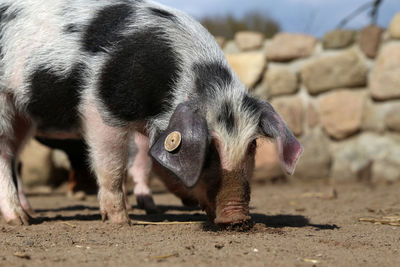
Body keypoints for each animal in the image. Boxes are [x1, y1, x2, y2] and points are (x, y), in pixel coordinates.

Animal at [0, 0, 300, 226]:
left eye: (252, 147)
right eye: (208, 151)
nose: (237, 218)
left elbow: (147, 161)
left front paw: (157, 206)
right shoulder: (101, 107)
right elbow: (112, 165)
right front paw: (122, 221)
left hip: (23, 116)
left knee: (13, 153)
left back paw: (29, 213)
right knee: (5, 155)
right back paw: (20, 221)